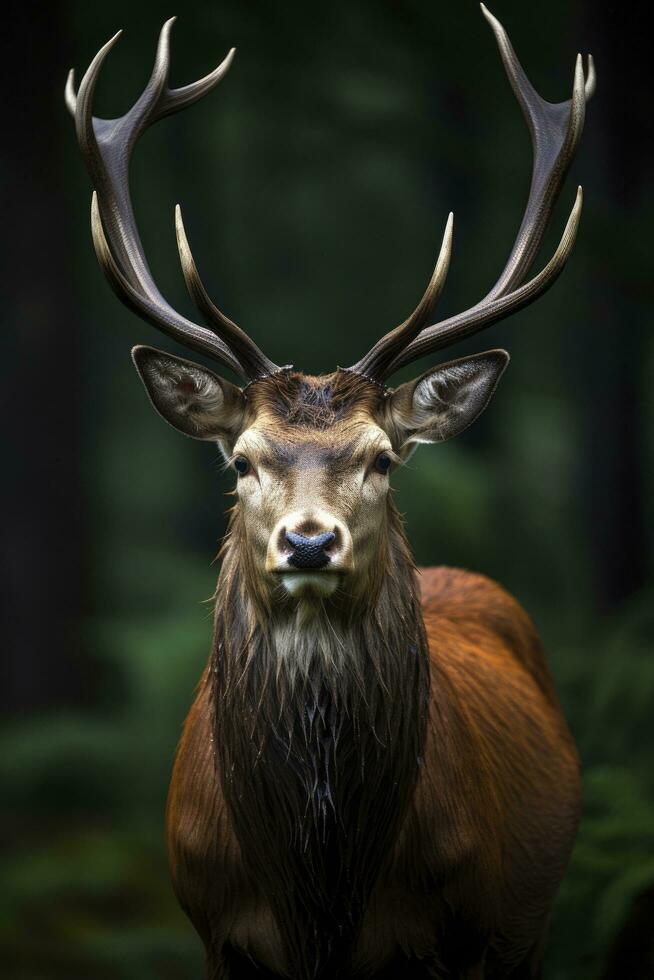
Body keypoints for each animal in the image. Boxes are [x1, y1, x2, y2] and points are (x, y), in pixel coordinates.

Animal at [65, 7, 596, 980]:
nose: (309, 543)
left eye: (382, 458)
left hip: (529, 932)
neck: (321, 895)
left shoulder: (462, 932)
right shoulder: (215, 929)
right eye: (241, 460)